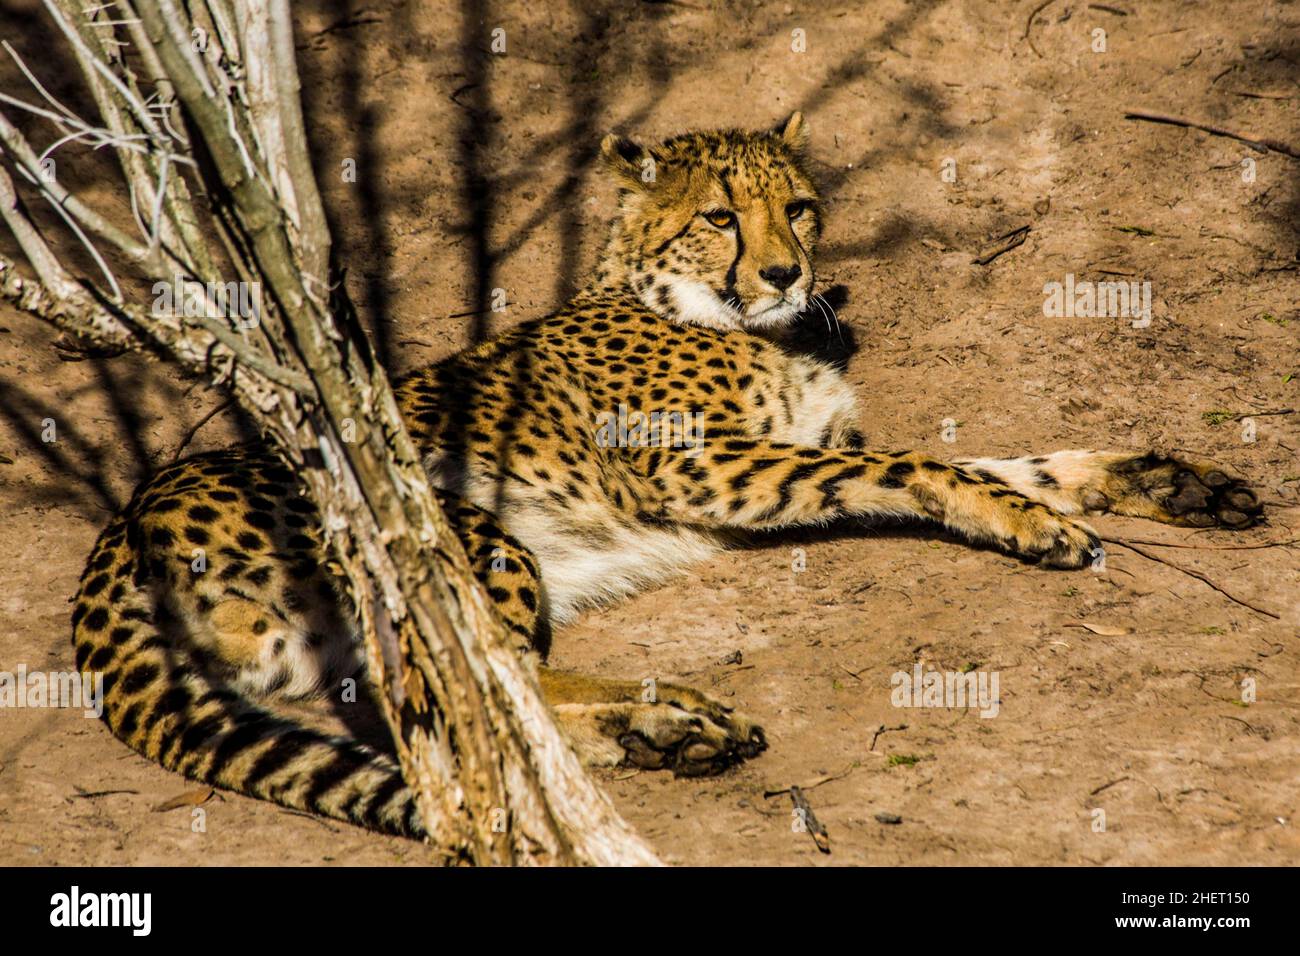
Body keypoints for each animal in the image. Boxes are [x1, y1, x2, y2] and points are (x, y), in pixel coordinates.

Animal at [70, 113, 1263, 839]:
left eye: (799, 206)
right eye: (719, 217)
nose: (787, 271)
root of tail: (128, 517)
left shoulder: (806, 447)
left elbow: (1013, 456)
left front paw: (1163, 479)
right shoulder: (700, 466)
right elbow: (925, 459)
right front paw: (1027, 520)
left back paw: (667, 719)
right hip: (465, 530)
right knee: (476, 704)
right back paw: (668, 725)